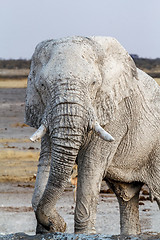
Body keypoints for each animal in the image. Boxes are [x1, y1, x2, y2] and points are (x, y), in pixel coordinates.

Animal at [25, 35, 160, 234]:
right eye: (42, 85)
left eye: (94, 83)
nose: (60, 225)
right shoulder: (45, 109)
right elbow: (46, 160)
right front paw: (48, 230)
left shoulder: (116, 113)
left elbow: (91, 164)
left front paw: (83, 233)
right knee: (127, 198)